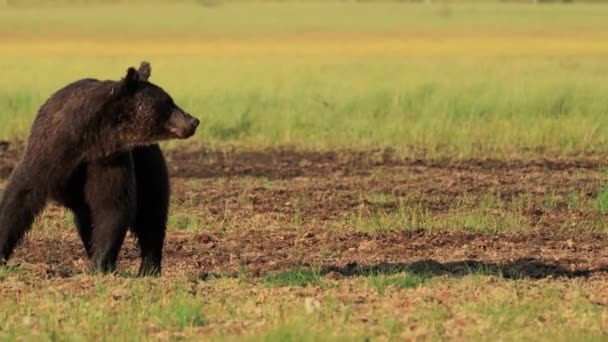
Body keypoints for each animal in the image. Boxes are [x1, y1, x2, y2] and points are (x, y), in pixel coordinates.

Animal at [0, 61, 200, 276]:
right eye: (168, 103)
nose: (193, 121)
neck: (94, 138)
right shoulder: (53, 150)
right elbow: (21, 195)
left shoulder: (108, 159)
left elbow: (112, 205)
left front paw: (100, 264)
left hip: (146, 161)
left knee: (152, 211)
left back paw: (149, 267)